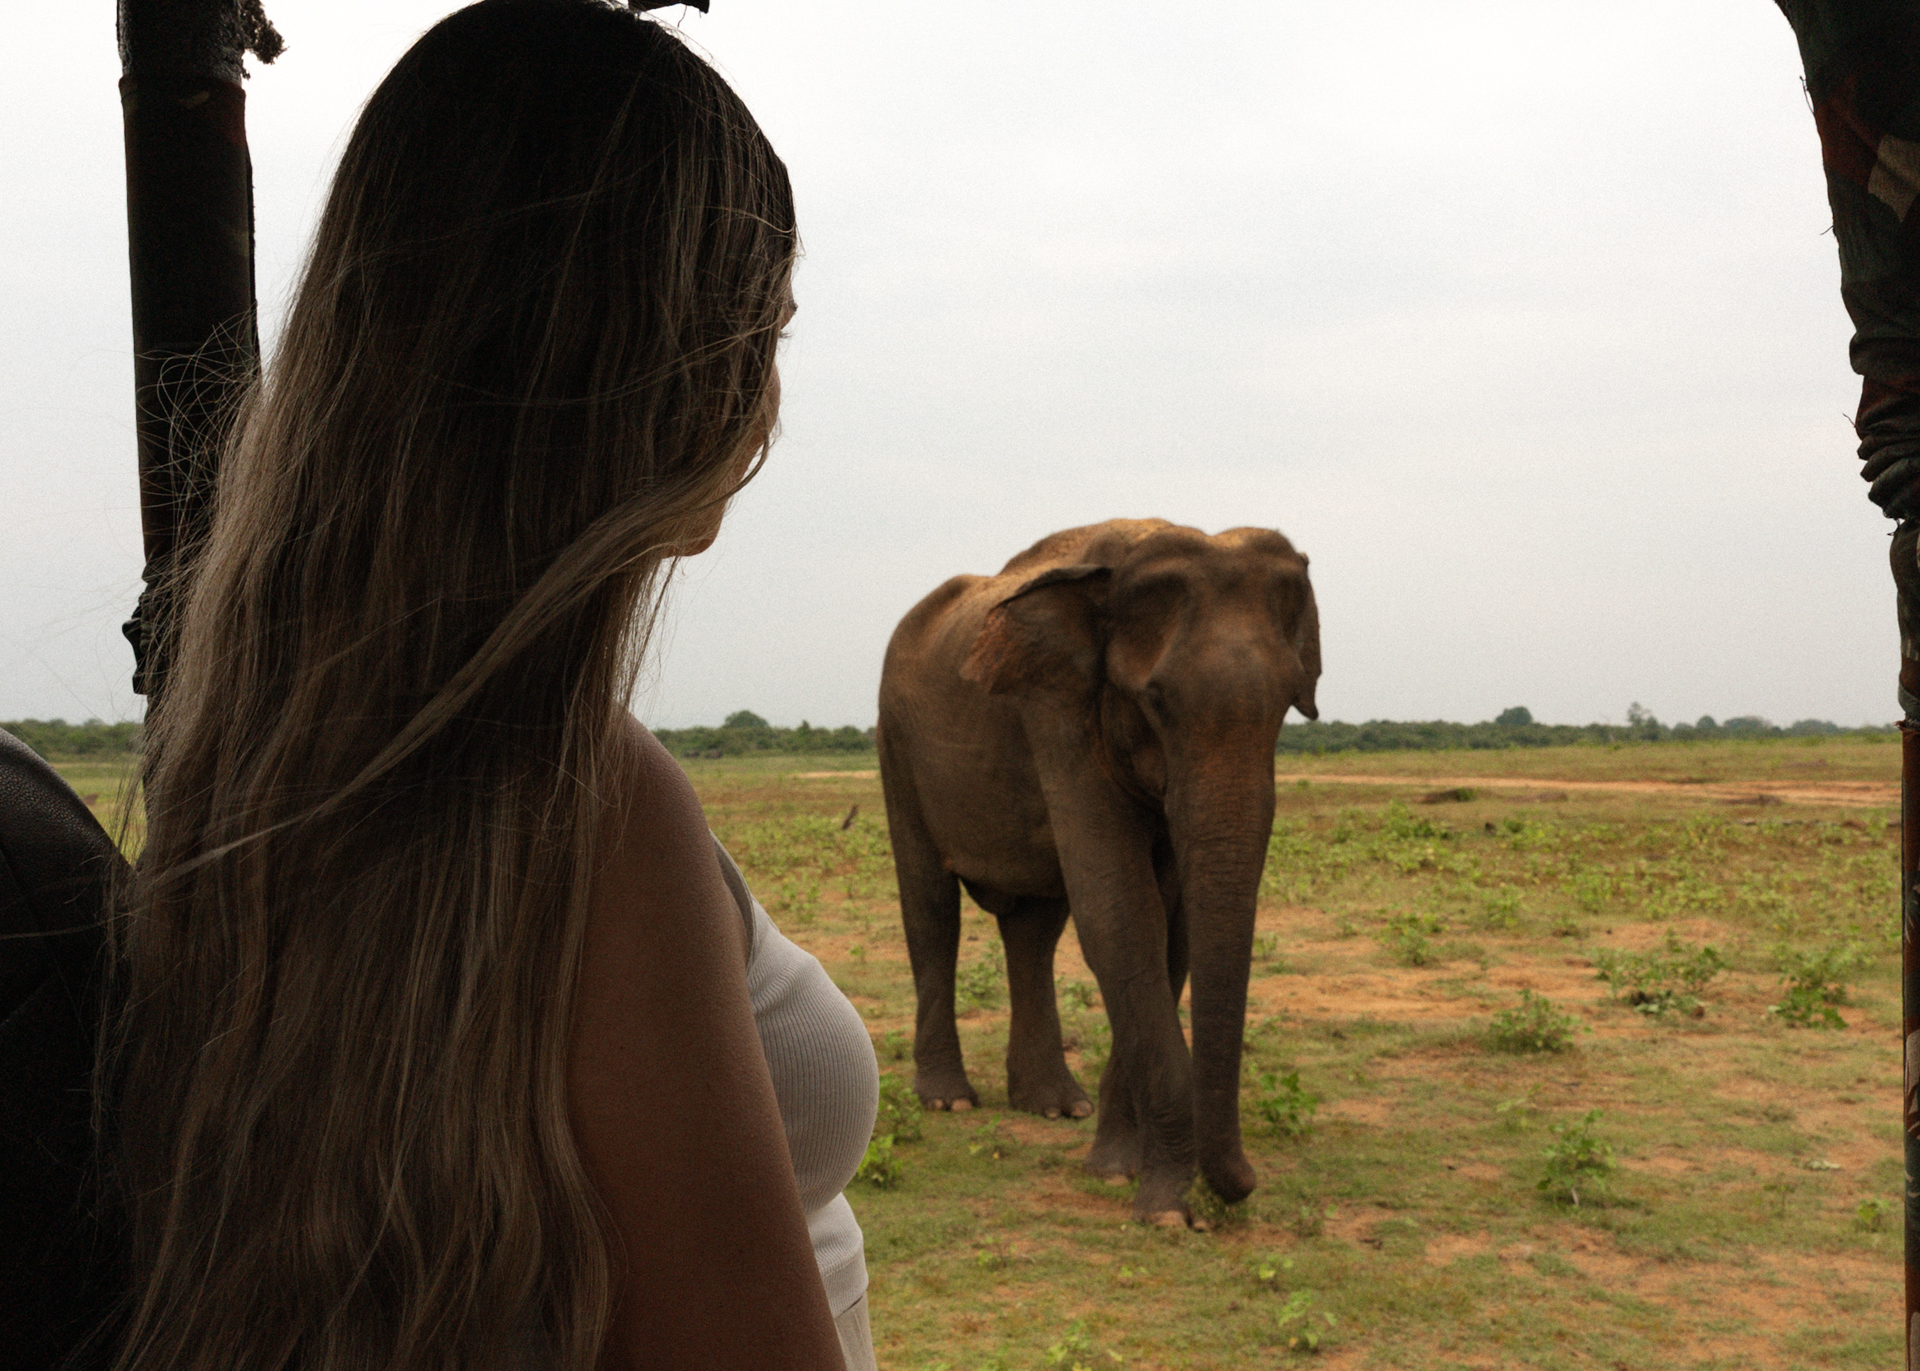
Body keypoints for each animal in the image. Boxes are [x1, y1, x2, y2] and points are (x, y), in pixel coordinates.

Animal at [876, 518, 1320, 1226]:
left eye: (1287, 703)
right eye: (1155, 702)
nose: (1244, 1184)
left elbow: (1167, 928)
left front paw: (1115, 1170)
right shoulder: (1057, 710)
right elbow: (1120, 913)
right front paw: (1165, 1209)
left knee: (1033, 929)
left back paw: (1057, 1106)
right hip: (895, 740)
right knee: (931, 908)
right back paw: (950, 1100)